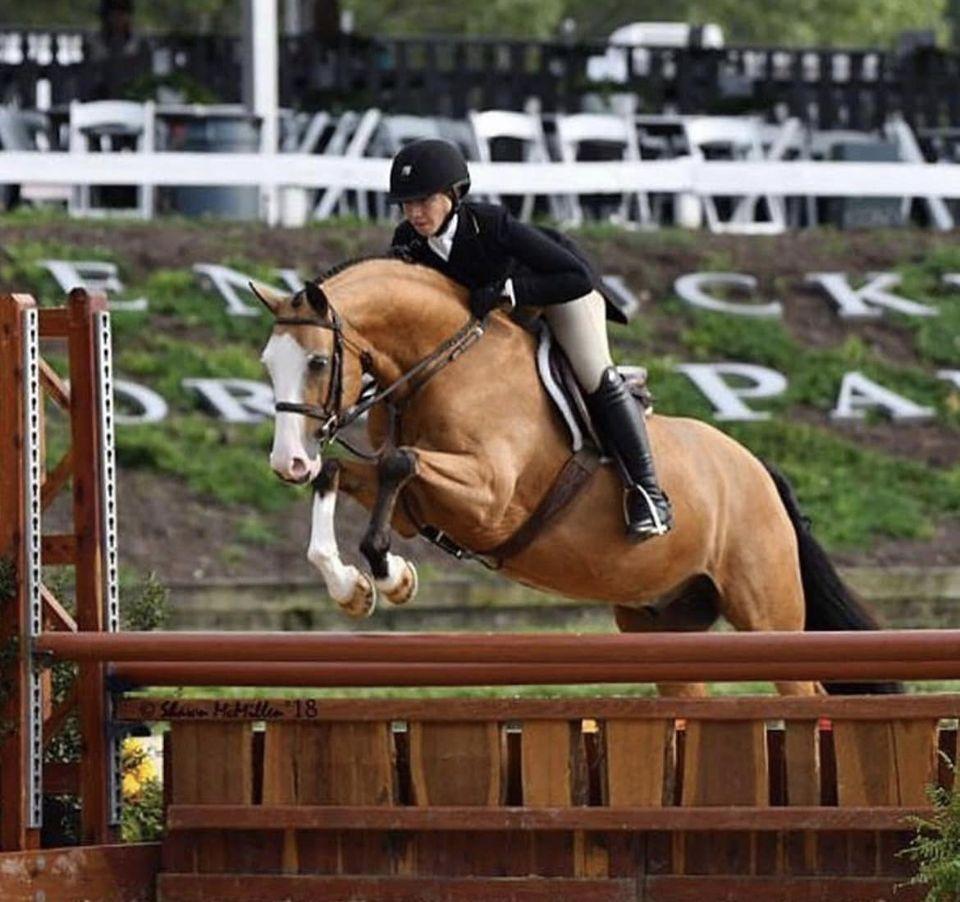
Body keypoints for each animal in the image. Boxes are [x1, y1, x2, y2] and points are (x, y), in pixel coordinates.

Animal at [255, 257, 893, 698]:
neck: (444, 364)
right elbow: (343, 472)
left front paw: (392, 577)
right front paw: (352, 585)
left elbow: (399, 462)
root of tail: (758, 470)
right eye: (268, 364)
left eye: (317, 361)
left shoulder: (489, 499)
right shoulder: (421, 506)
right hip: (660, 626)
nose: (287, 463)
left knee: (805, 691)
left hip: (766, 614)